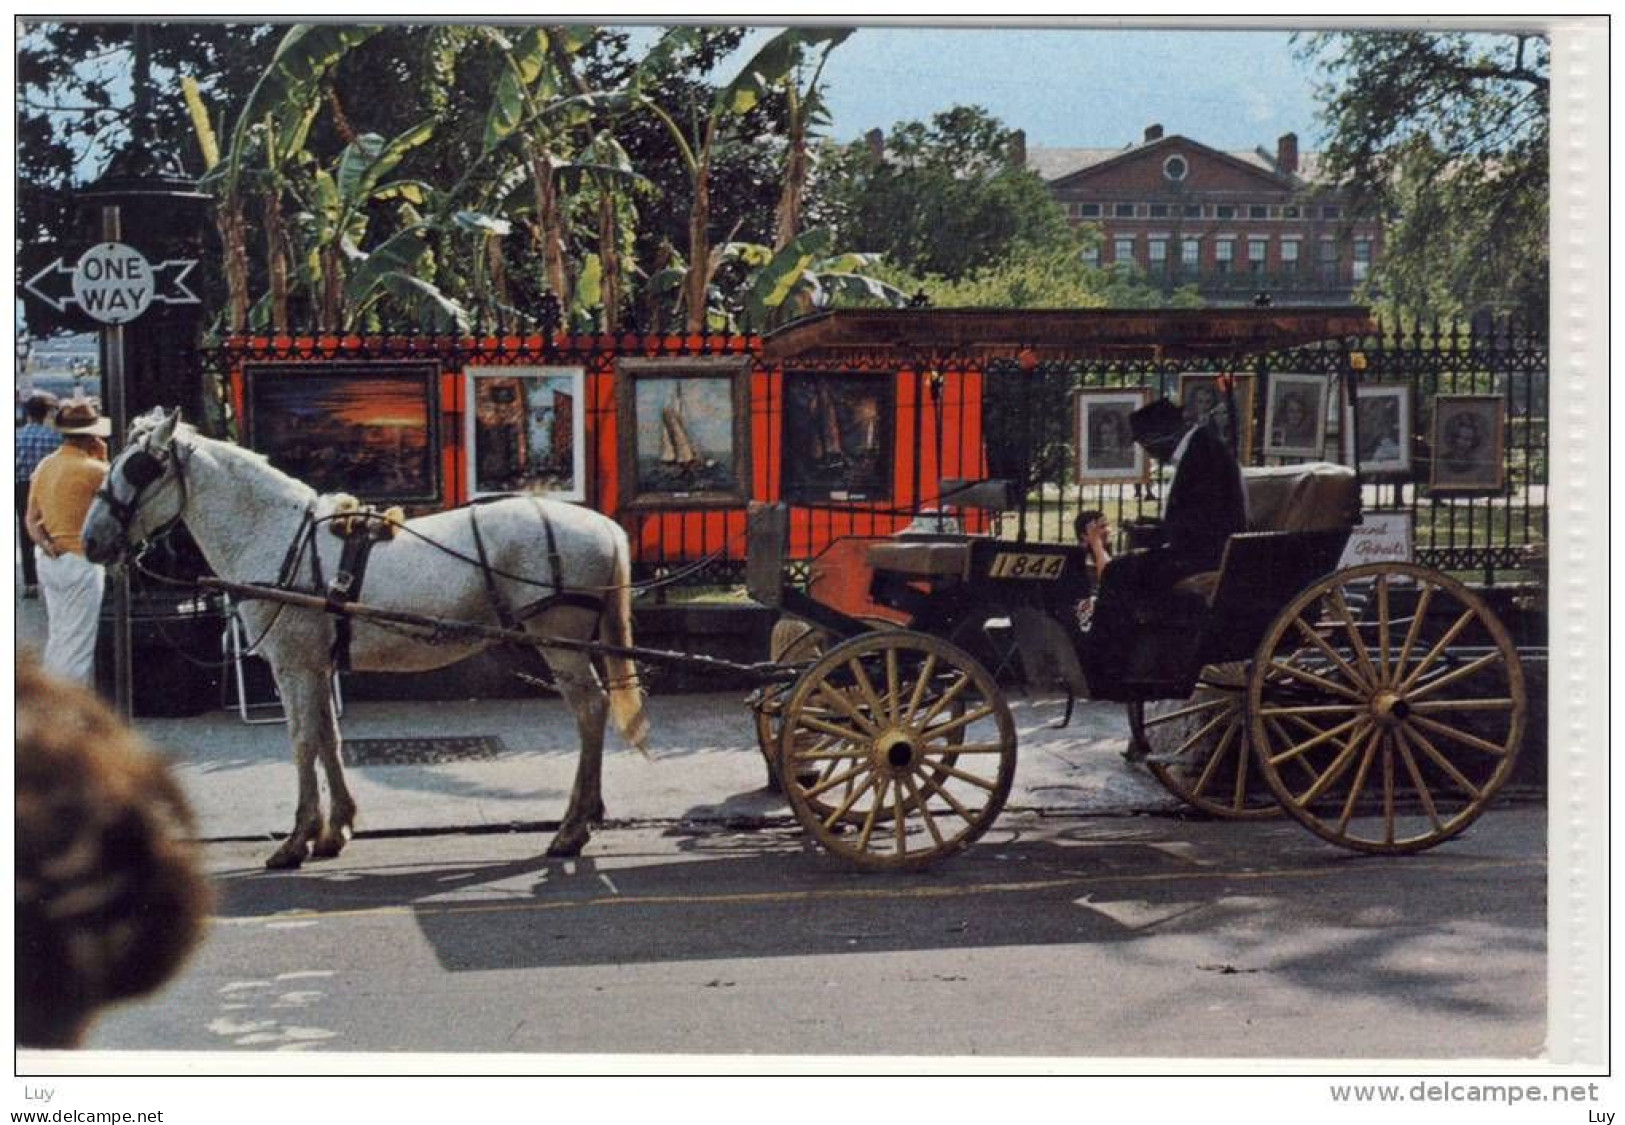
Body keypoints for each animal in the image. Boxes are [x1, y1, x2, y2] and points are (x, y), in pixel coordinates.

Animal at [82, 411, 650, 871]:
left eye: (138, 469)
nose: (90, 540)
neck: (277, 536)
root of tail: (603, 525)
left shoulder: (293, 664)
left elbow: (303, 740)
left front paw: (298, 839)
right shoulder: (318, 665)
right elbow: (329, 738)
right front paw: (337, 828)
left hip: (560, 640)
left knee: (590, 710)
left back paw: (572, 828)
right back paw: (582, 818)